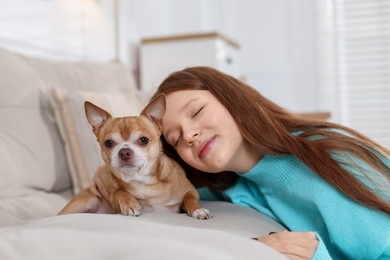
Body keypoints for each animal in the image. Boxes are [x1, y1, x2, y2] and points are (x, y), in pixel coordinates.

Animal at [58, 94, 210, 219]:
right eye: (108, 143)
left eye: (143, 140)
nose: (124, 151)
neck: (141, 180)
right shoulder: (113, 199)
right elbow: (119, 191)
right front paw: (130, 204)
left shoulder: (190, 190)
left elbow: (189, 198)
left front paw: (198, 210)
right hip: (87, 201)